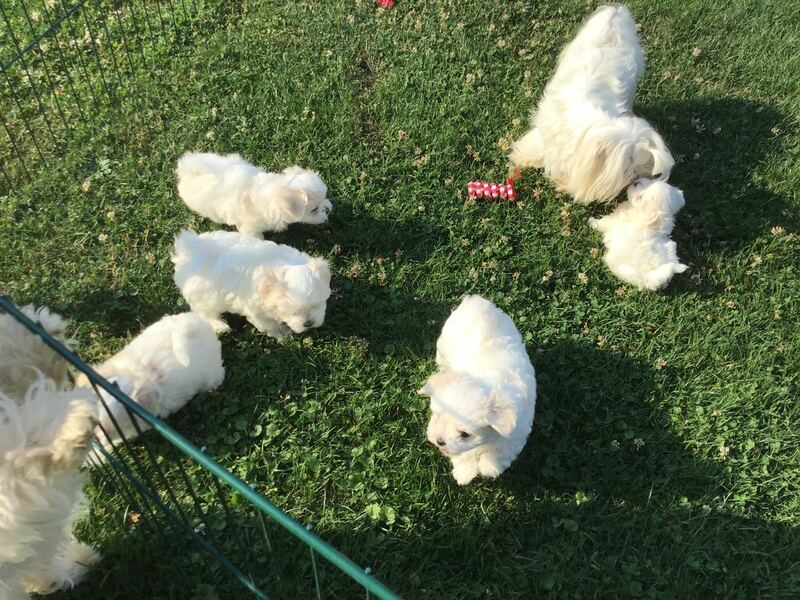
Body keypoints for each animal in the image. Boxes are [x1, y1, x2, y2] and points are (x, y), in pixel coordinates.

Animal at [172, 229, 332, 337]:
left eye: (317, 305)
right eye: (294, 312)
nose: (308, 323)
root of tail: (187, 254)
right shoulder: (256, 311)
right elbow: (269, 324)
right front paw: (280, 333)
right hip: (205, 299)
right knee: (206, 314)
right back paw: (221, 326)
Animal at [176, 152, 332, 238]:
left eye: (325, 196)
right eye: (314, 210)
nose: (328, 209)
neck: (274, 193)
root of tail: (186, 170)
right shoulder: (249, 227)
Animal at [418, 295, 536, 485]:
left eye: (465, 434)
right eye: (437, 416)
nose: (440, 441)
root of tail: (474, 301)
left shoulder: (517, 431)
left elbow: (501, 450)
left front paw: (489, 467)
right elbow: (464, 454)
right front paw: (464, 473)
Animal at [509, 6, 674, 204]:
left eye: (641, 165)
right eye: (627, 166)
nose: (635, 178)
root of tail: (615, 15)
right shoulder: (547, 131)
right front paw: (523, 157)